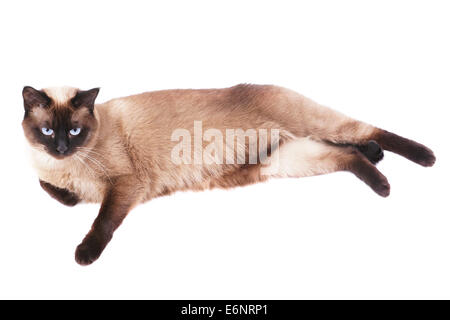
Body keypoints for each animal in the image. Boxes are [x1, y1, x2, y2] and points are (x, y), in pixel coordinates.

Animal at [22, 84, 436, 264]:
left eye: (75, 130)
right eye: (48, 131)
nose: (61, 147)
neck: (68, 165)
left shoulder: (126, 186)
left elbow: (102, 221)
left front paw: (84, 255)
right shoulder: (69, 186)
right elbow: (57, 193)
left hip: (309, 126)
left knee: (365, 131)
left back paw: (424, 158)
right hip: (286, 159)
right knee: (348, 153)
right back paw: (380, 177)